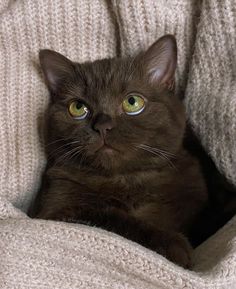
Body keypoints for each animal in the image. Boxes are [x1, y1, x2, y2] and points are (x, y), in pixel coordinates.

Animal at [30, 35, 235, 268]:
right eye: (78, 107)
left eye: (132, 102)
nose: (103, 126)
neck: (124, 180)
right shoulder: (54, 208)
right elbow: (108, 218)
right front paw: (173, 245)